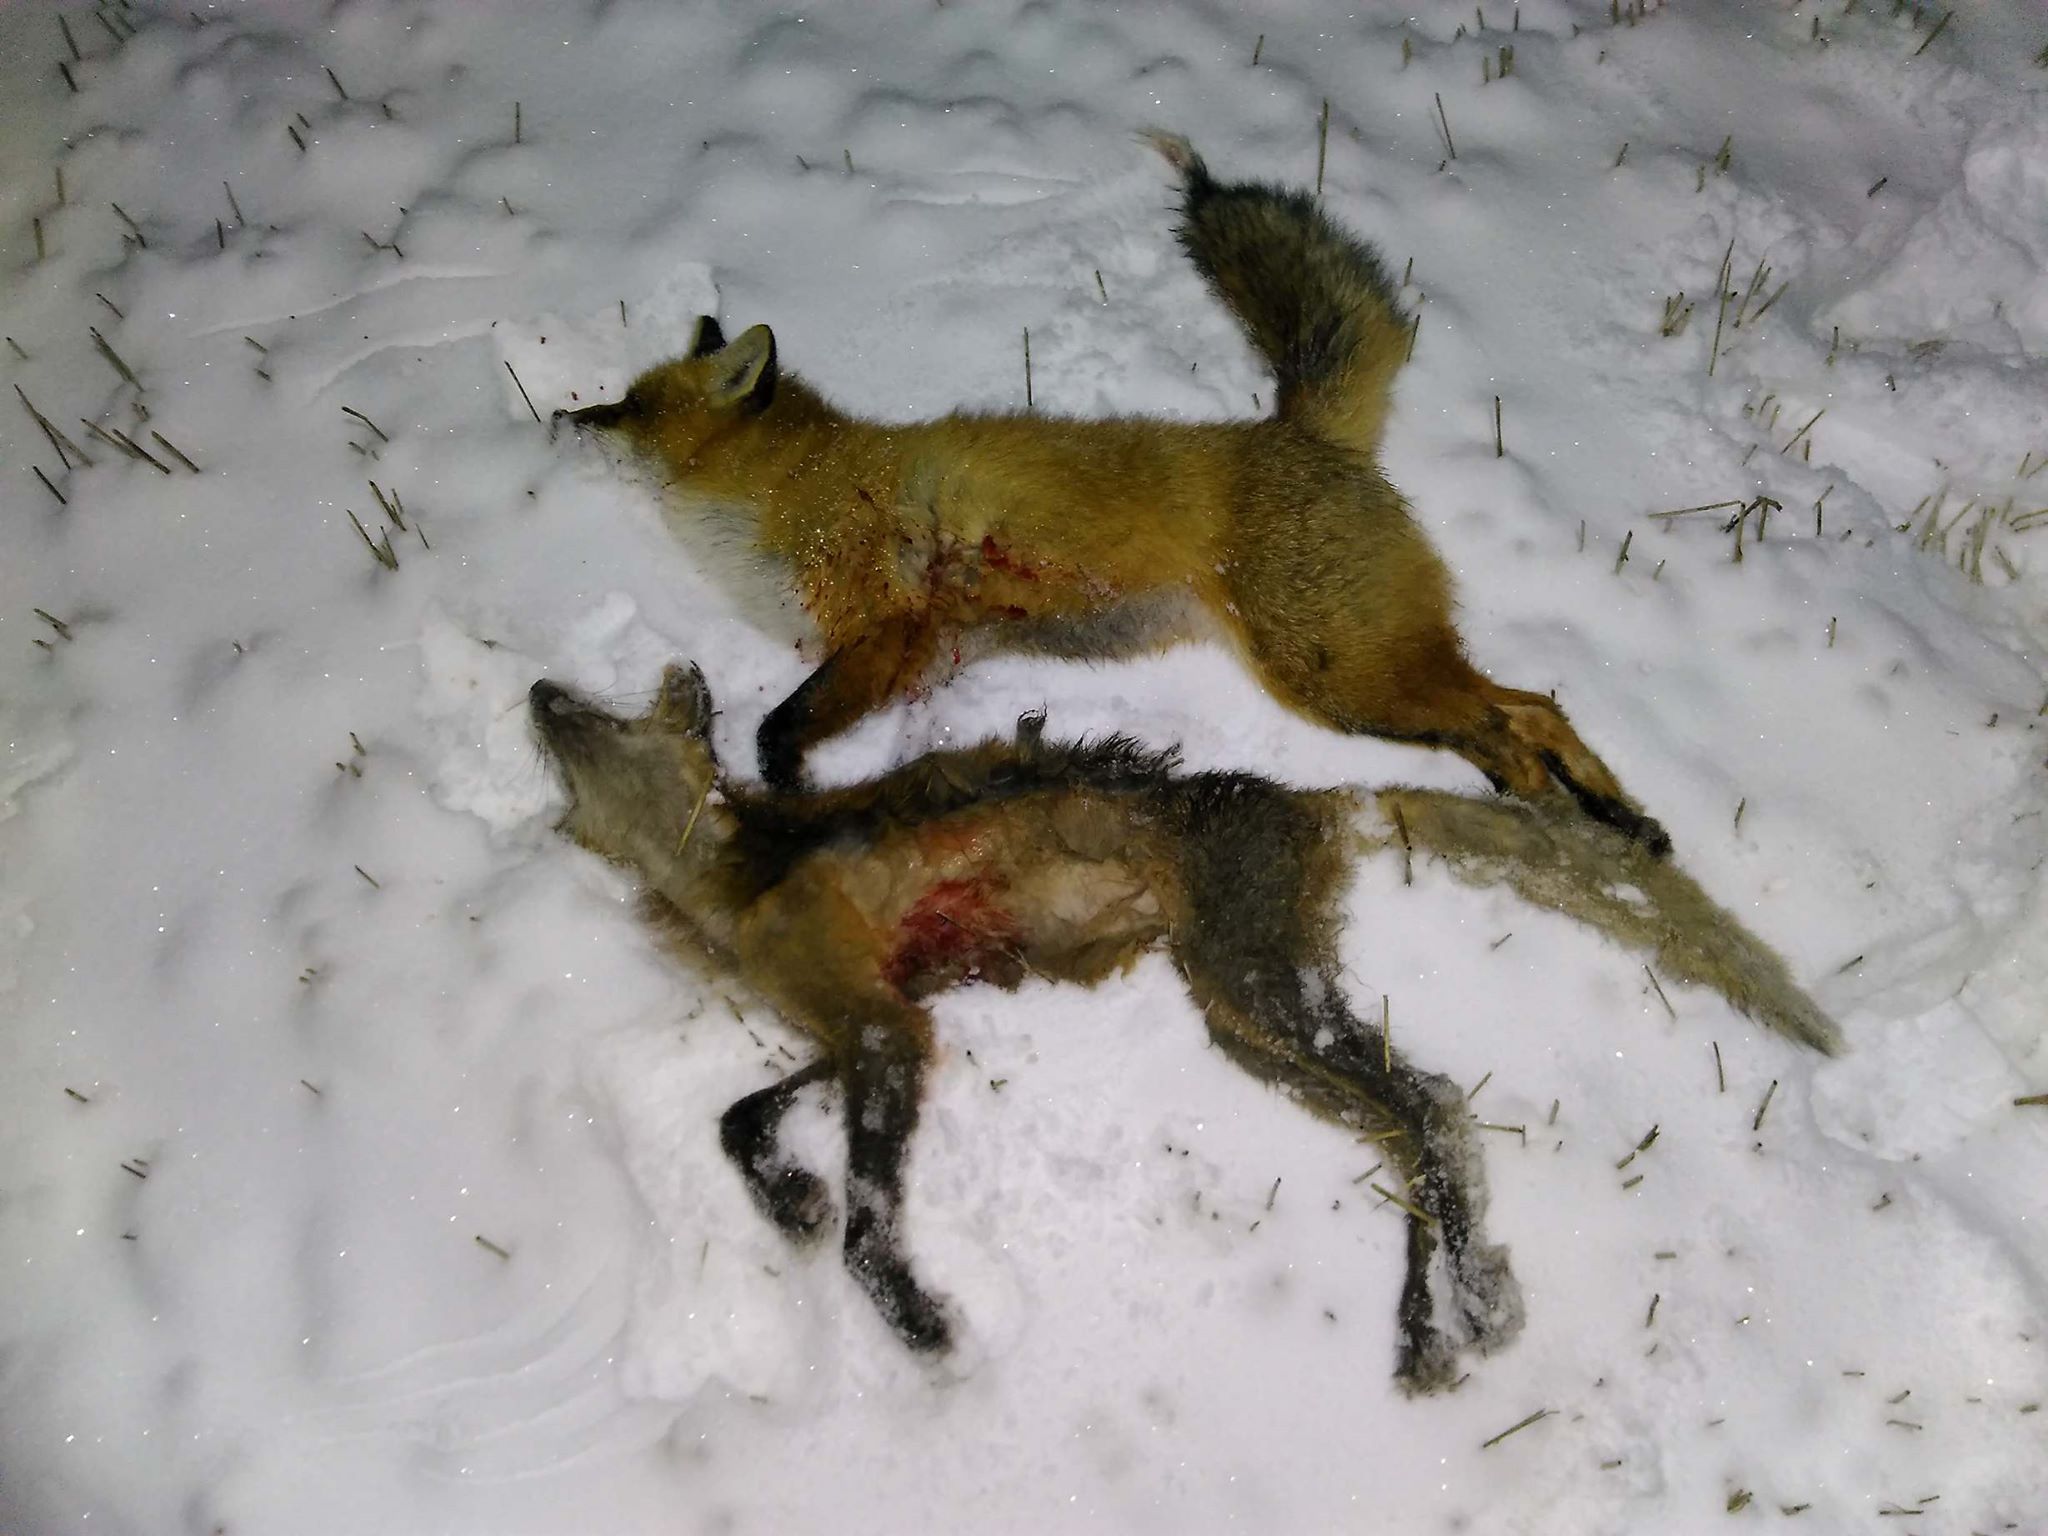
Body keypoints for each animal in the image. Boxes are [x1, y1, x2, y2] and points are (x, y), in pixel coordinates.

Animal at [529, 662, 1836, 1393]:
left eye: (599, 719)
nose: (536, 694)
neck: (736, 884)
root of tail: (1313, 800)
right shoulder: (871, 1018)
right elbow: (736, 1117)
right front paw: (788, 1196)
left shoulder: (882, 1029)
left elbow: (863, 1227)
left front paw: (917, 1324)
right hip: (1248, 1024)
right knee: (1413, 1119)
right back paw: (1430, 1328)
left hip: (1254, 995)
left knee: (1428, 1107)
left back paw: (1461, 1306)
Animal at [556, 132, 1672, 856]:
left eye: (630, 407)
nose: (564, 420)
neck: (785, 495)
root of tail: (1300, 429)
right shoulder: (911, 651)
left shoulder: (887, 627)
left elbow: (778, 726)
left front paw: (787, 782)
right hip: (1370, 674)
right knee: (1529, 710)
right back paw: (1622, 820)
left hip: (1338, 679)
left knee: (1509, 720)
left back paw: (1568, 809)